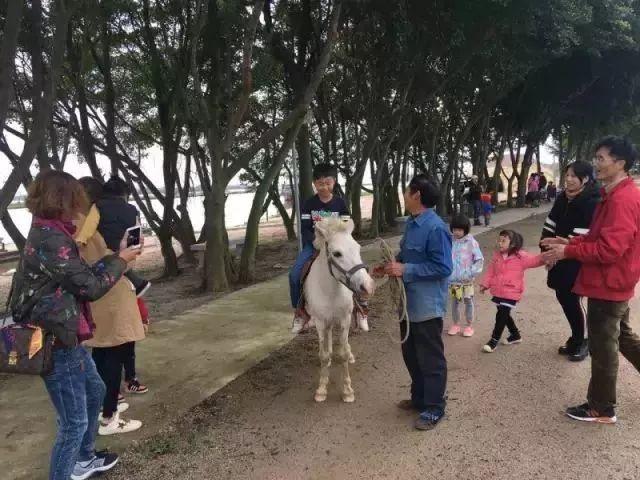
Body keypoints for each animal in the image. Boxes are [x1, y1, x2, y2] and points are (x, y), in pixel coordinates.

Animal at [304, 217, 376, 402]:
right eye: (337, 253)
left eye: (358, 248)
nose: (368, 286)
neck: (330, 291)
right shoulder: (320, 322)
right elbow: (323, 355)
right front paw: (322, 389)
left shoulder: (345, 319)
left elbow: (342, 353)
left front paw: (347, 391)